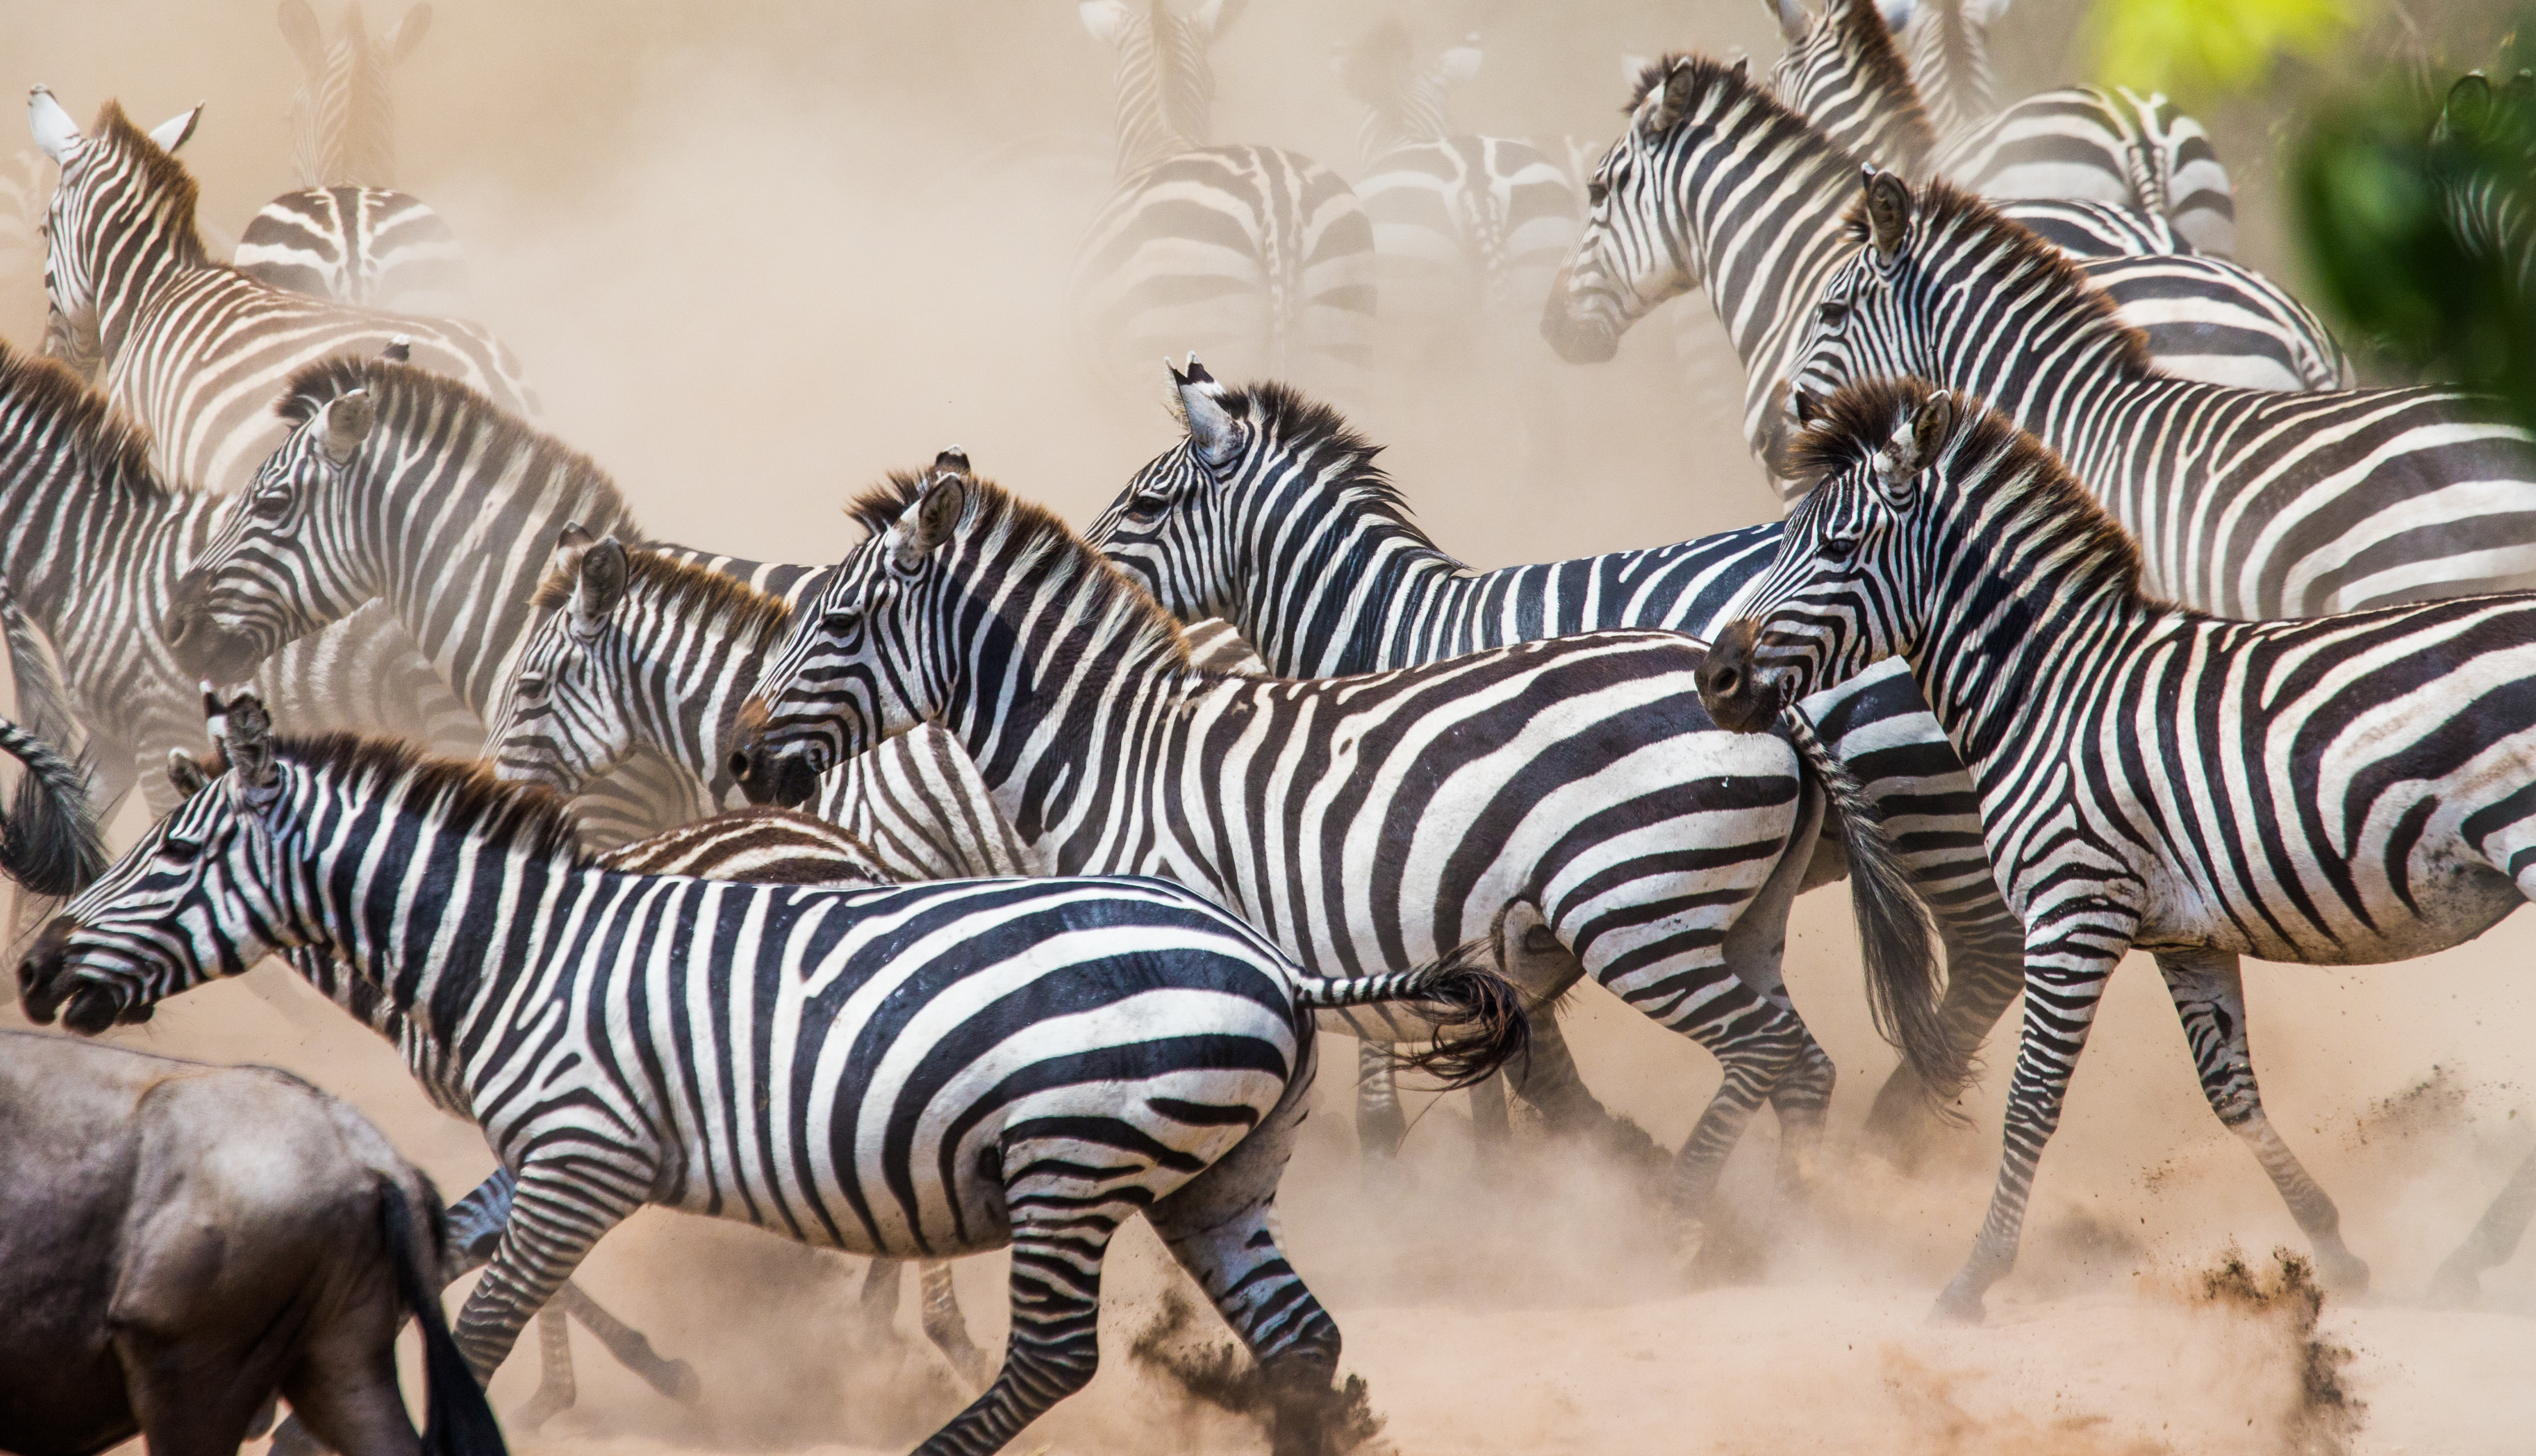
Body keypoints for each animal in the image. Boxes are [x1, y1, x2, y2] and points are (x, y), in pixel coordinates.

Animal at [21, 689, 1528, 1456]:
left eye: (171, 855)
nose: (34, 971)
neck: (514, 951)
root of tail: (1272, 960)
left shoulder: (588, 1158)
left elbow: (494, 1319)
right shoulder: (543, 1156)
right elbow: (441, 1259)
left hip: (1074, 1157)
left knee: (1053, 1353)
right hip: (1216, 1177)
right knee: (1301, 1342)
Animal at [730, 458, 1955, 1241]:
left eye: (836, 623)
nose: (740, 760)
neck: (1115, 748)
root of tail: (1761, 699)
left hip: (1637, 912)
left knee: (1768, 1053)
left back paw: (1689, 1220)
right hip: (1739, 918)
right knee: (1798, 1065)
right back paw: (1788, 1220)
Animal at [1081, 357, 2028, 1150]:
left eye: (1144, 507)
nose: (1084, 578)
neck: (1391, 637)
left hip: (1920, 799)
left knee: (1988, 954)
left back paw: (1891, 1126)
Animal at [1696, 373, 2536, 1321]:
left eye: (1837, 547)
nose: (1713, 680)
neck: (2049, 691)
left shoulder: (2074, 910)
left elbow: (2029, 1100)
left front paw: (1973, 1278)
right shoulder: (2182, 933)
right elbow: (2228, 1093)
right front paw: (2331, 1246)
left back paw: (2472, 1256)